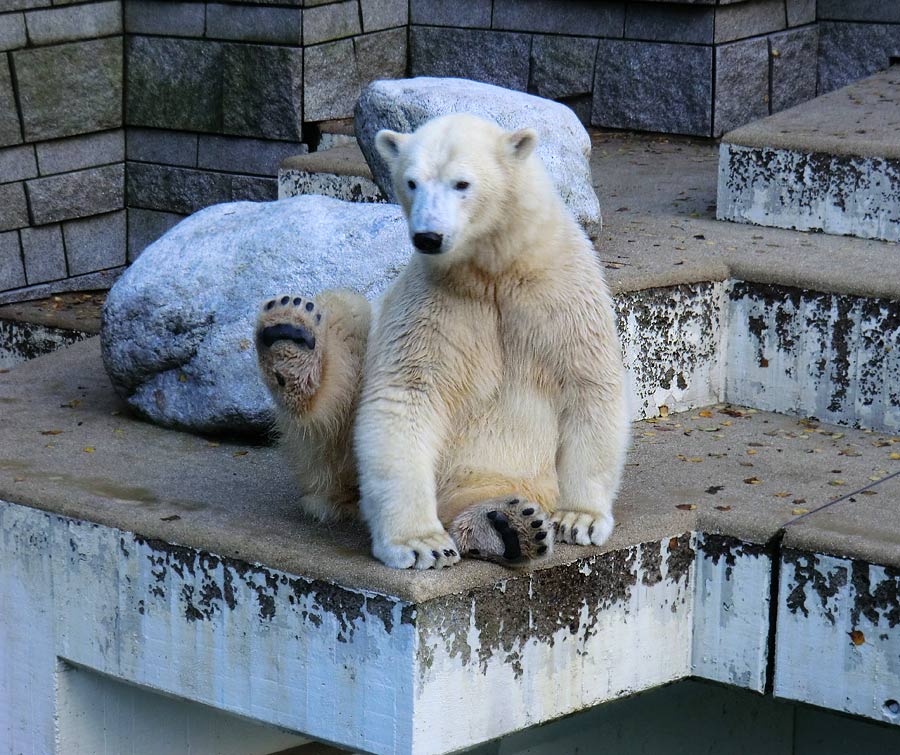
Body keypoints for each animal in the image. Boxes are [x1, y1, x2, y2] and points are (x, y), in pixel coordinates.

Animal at [256, 115, 628, 568]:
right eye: (412, 182)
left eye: (461, 183)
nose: (428, 237)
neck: (492, 272)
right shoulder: (433, 305)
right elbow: (406, 396)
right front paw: (419, 543)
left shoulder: (560, 292)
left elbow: (588, 384)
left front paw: (580, 518)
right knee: (349, 329)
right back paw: (290, 336)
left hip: (503, 470)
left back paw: (507, 524)